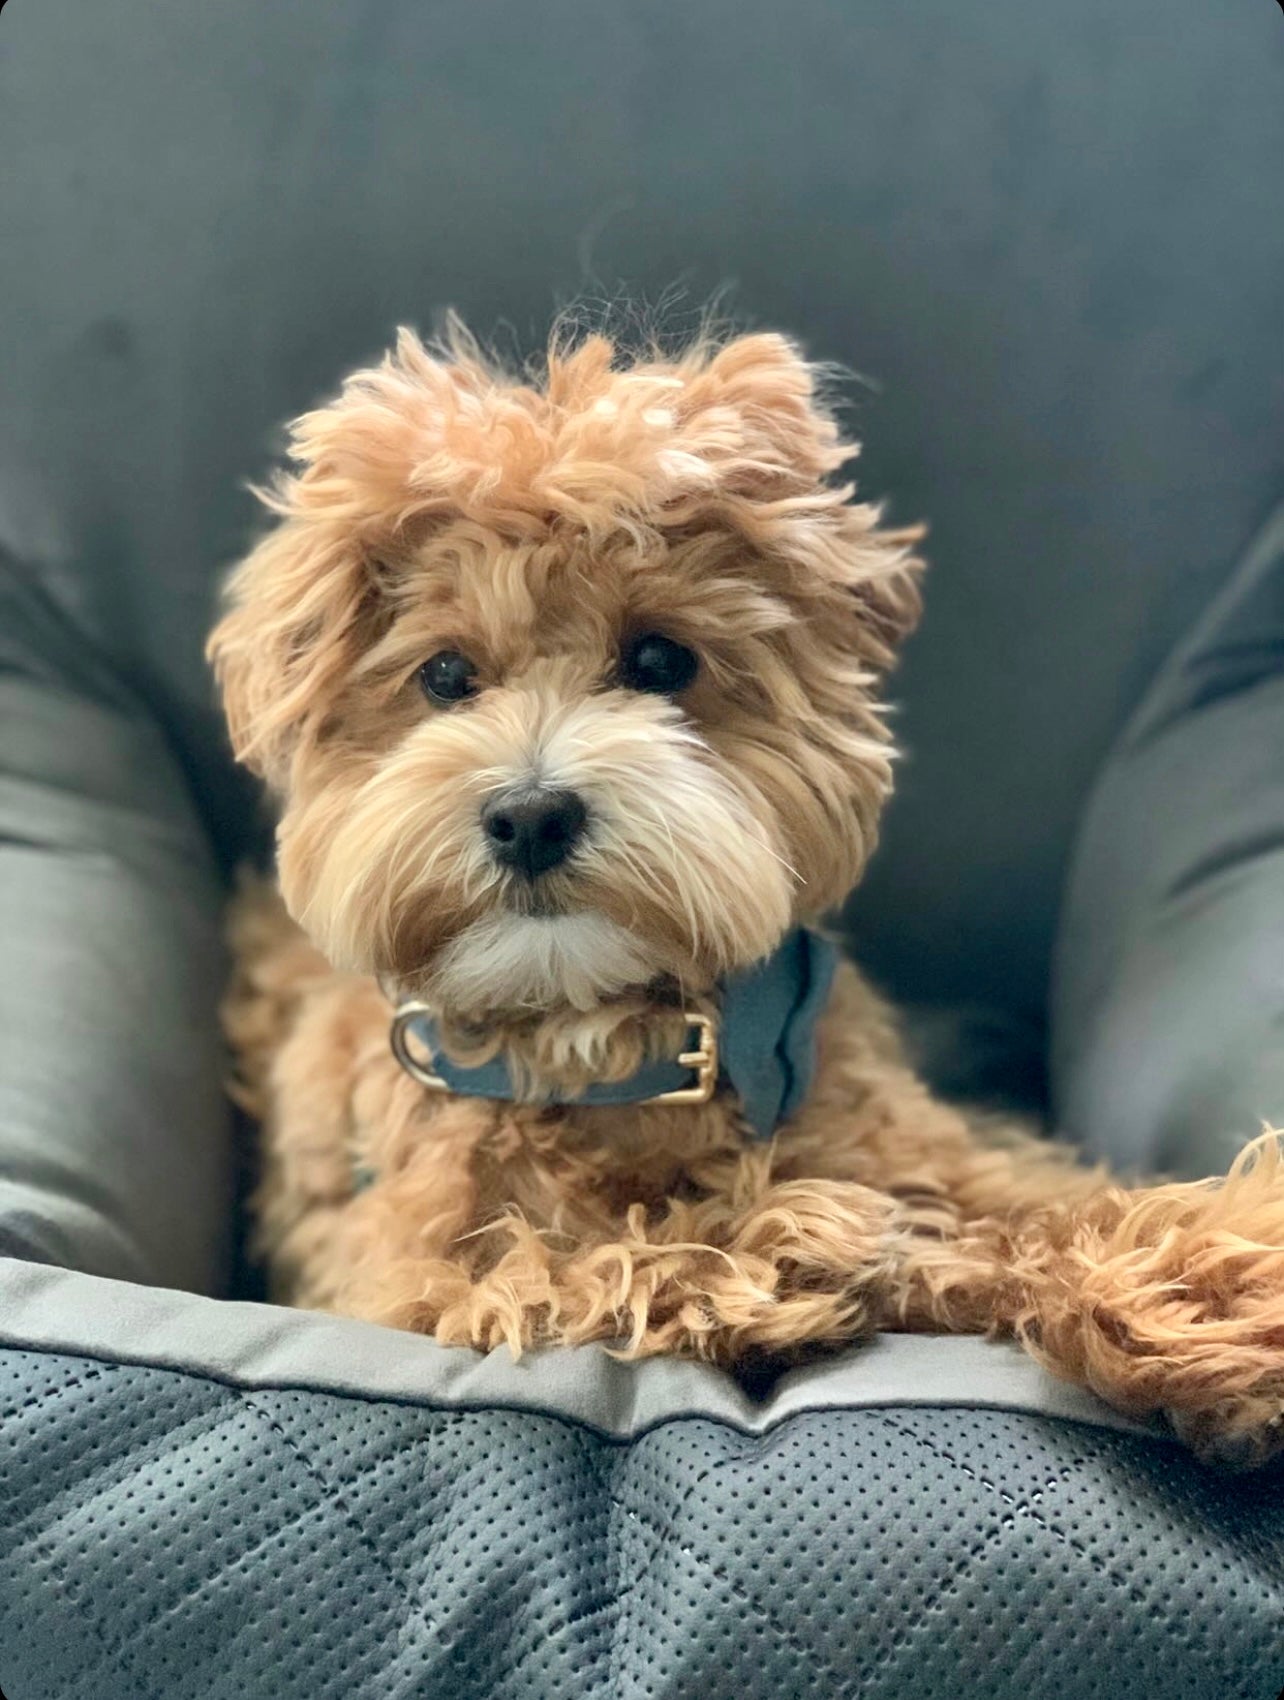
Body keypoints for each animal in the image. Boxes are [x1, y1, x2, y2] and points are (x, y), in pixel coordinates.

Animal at [210, 319, 1284, 1462]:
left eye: (659, 659)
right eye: (447, 677)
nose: (531, 815)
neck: (612, 1049)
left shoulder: (931, 1149)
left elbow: (1052, 1204)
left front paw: (1218, 1281)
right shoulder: (404, 1279)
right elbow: (558, 1269)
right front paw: (788, 1246)